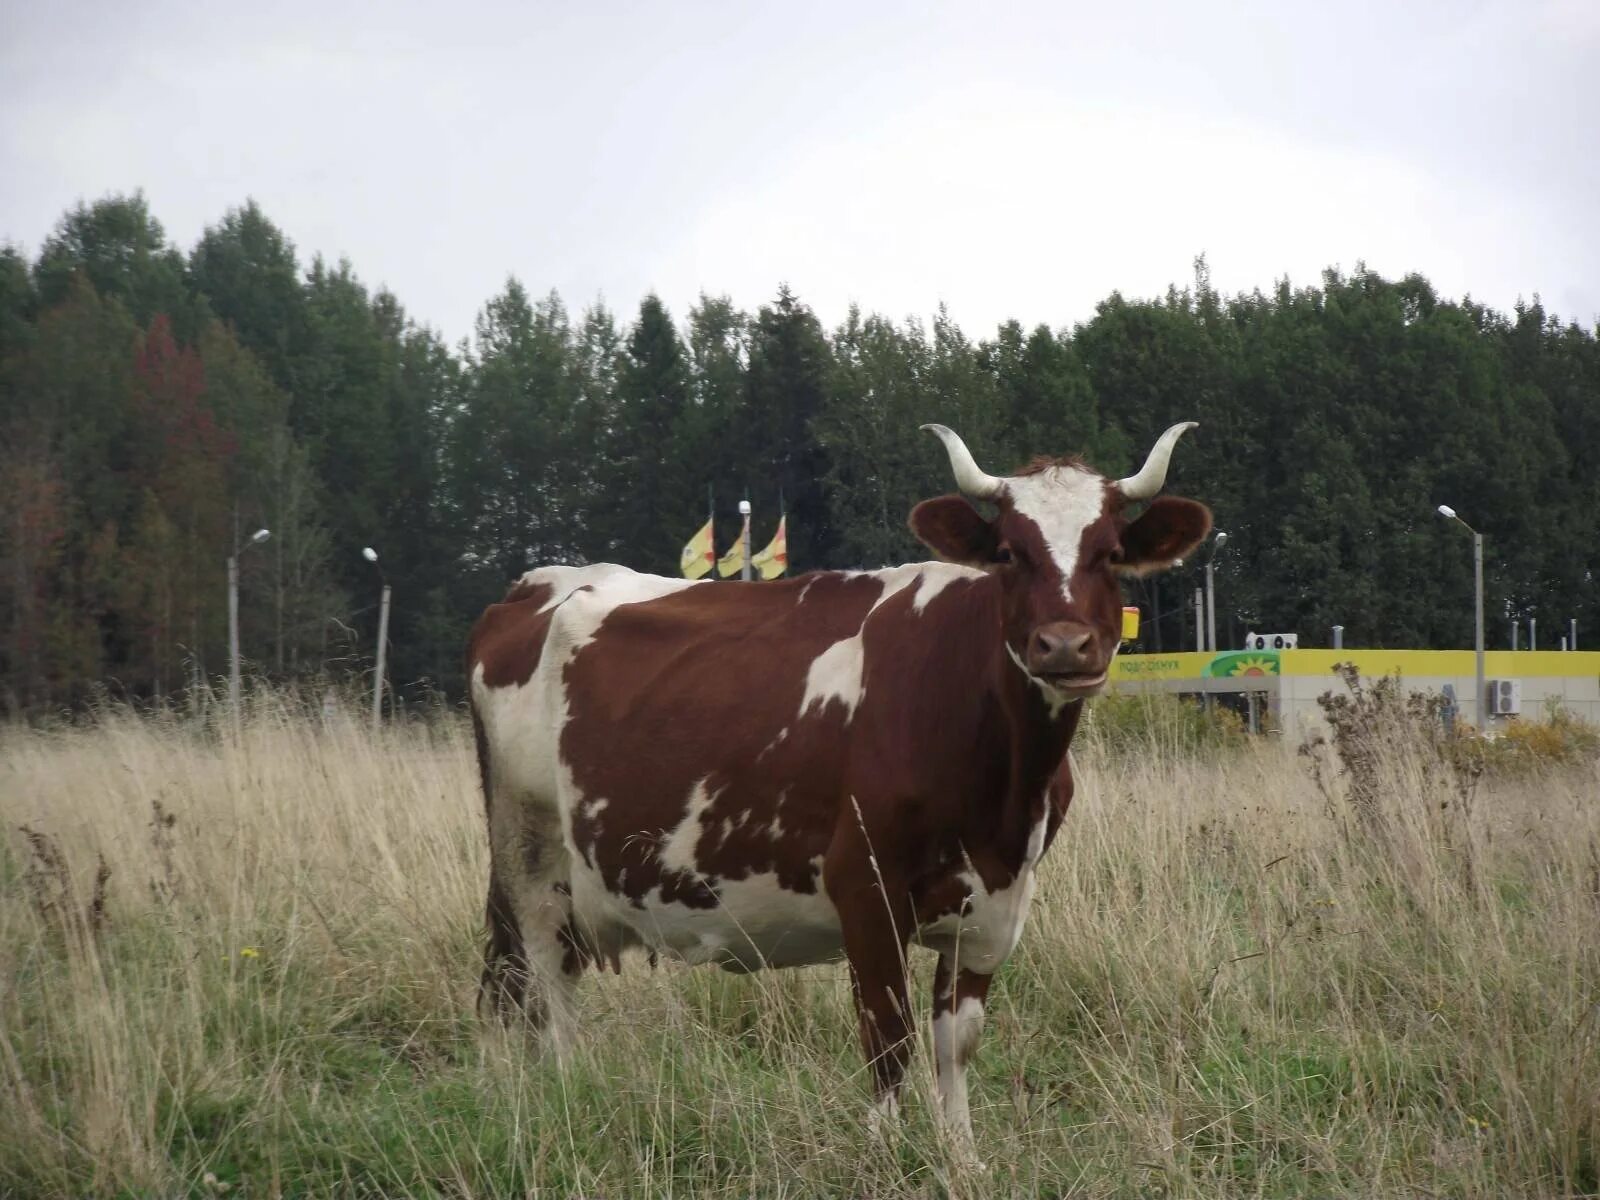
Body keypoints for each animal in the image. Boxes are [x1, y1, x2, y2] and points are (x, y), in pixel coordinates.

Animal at [467, 419, 1203, 1145]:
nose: (1064, 646)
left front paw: (962, 1155)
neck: (1003, 787)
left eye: (1110, 553)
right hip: (529, 856)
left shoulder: (998, 898)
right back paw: (563, 1101)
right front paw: (884, 1153)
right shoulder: (865, 886)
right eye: (1008, 552)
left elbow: (957, 1041)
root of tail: (540, 581)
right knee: (543, 991)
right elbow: (889, 1036)